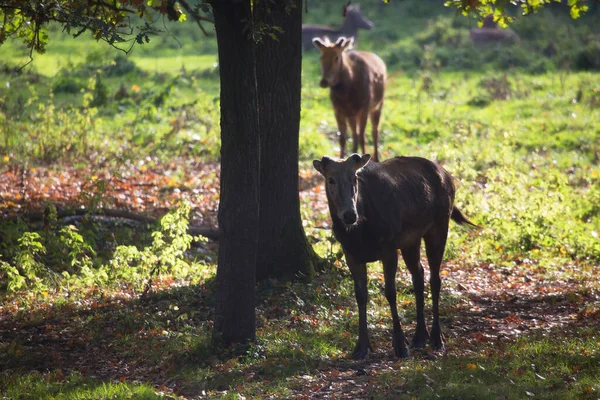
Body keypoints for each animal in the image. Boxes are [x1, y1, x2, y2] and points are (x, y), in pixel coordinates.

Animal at [314, 153, 478, 360]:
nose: (350, 215)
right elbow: (360, 296)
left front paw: (400, 345)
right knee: (418, 274)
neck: (361, 234)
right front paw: (361, 346)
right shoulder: (351, 255)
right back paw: (419, 336)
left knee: (435, 278)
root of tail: (448, 176)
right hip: (411, 241)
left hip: (440, 225)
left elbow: (390, 293)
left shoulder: (389, 248)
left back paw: (436, 338)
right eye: (330, 179)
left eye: (355, 178)